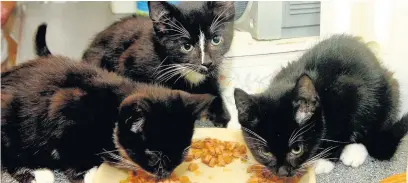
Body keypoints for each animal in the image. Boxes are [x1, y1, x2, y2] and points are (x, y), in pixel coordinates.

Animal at [0, 56, 214, 183]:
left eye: (185, 151)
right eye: (154, 156)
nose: (166, 174)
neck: (109, 113)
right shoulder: (66, 109)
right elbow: (71, 151)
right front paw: (90, 172)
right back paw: (35, 172)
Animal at [35, 1, 236, 128]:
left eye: (216, 40)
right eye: (186, 46)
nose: (206, 62)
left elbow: (212, 86)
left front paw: (221, 114)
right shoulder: (132, 62)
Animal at [233, 34, 408, 177]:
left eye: (296, 149)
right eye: (265, 152)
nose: (282, 172)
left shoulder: (349, 93)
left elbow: (343, 129)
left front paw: (325, 160)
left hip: (386, 93)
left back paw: (354, 151)